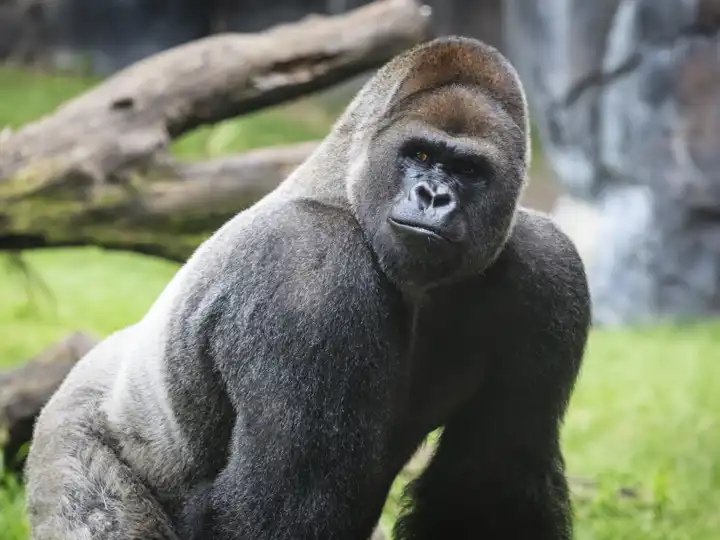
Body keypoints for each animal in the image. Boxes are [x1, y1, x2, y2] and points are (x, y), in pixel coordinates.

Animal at [24, 35, 591, 540]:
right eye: (422, 155)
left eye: (469, 169)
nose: (433, 196)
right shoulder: (309, 267)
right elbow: (284, 504)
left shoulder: (550, 266)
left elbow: (491, 483)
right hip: (71, 439)